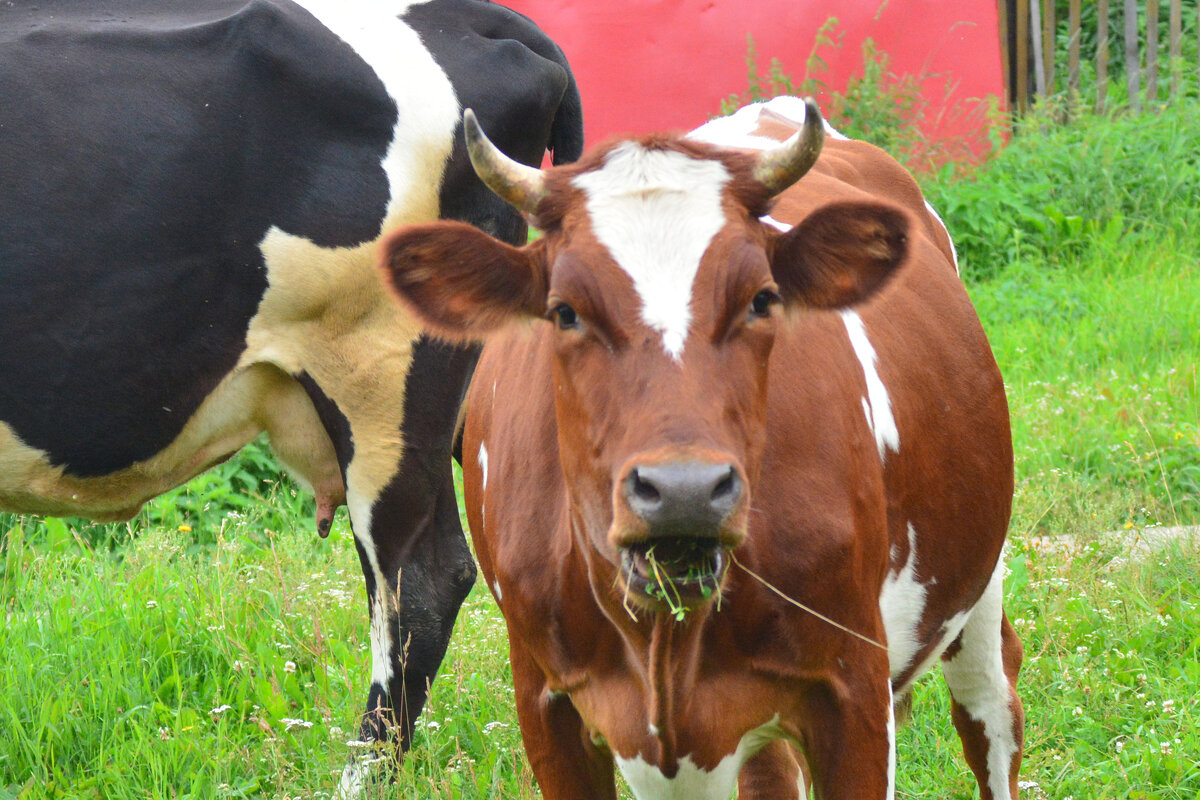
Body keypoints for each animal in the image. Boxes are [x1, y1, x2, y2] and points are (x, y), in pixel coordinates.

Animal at [376, 97, 1022, 796]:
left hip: (977, 581)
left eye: (762, 299)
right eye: (565, 312)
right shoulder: (546, 703)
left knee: (988, 707)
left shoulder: (852, 689)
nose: (683, 490)